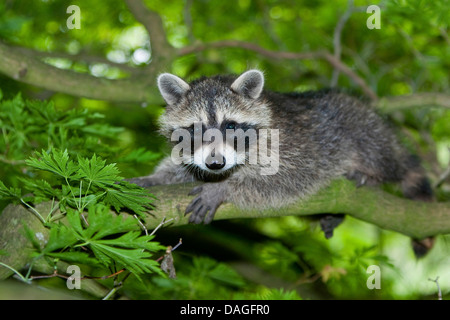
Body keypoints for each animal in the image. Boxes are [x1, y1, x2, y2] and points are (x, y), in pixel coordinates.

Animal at [128, 71, 430, 229]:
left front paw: (226, 188)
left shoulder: (294, 146)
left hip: (363, 127)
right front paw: (155, 178)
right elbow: (183, 169)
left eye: (230, 125)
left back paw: (376, 174)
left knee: (379, 152)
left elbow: (287, 179)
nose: (216, 164)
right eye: (195, 129)